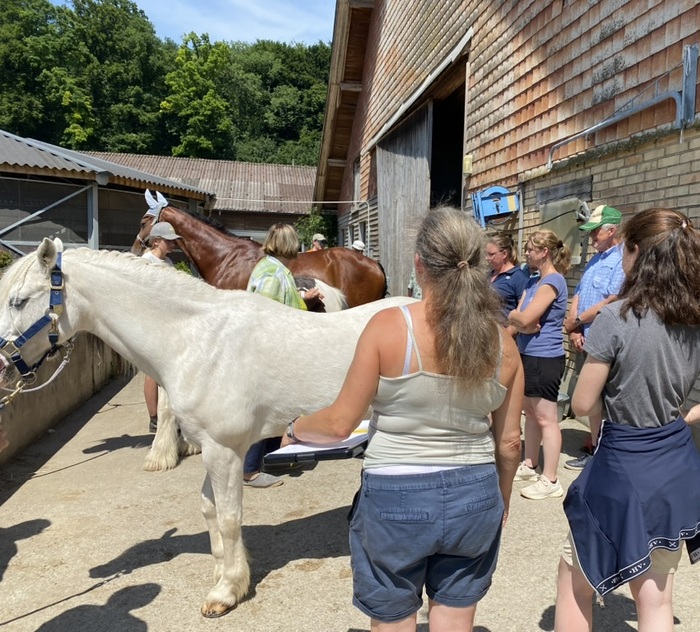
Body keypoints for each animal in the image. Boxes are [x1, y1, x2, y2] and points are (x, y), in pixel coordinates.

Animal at [0, 239, 412, 618]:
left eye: (19, 300)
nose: (2, 364)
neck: (197, 341)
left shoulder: (224, 450)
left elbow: (229, 519)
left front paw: (225, 592)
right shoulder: (212, 448)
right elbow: (209, 509)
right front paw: (226, 573)